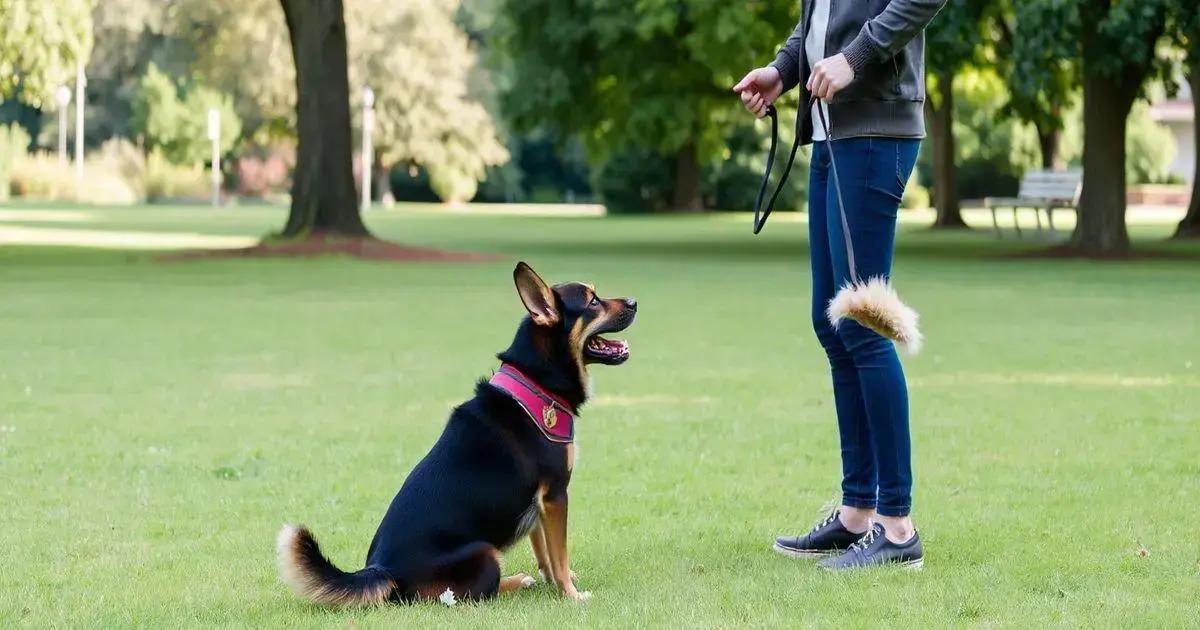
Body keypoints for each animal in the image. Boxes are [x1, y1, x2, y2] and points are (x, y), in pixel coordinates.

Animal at [276, 261, 638, 604]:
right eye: (593, 301)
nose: (635, 302)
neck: (535, 383)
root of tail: (383, 571)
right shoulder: (555, 495)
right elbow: (559, 554)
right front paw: (571, 595)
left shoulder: (538, 504)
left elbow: (546, 553)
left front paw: (554, 583)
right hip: (485, 552)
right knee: (469, 595)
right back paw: (517, 581)